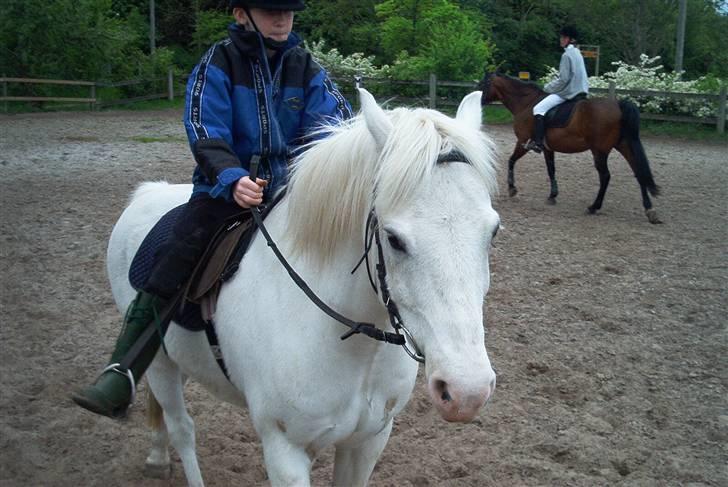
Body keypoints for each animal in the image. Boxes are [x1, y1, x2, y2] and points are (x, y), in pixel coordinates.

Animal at [104, 88, 500, 486]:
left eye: (493, 231)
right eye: (393, 238)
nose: (466, 392)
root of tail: (148, 194)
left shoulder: (369, 440)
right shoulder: (285, 451)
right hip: (160, 361)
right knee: (182, 428)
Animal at [478, 72, 662, 224]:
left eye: (484, 84)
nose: (476, 100)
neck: (526, 103)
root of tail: (618, 104)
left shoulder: (523, 142)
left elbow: (511, 161)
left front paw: (512, 189)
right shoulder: (547, 148)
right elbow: (551, 169)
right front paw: (552, 196)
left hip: (599, 151)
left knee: (605, 176)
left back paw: (594, 207)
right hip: (623, 145)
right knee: (638, 172)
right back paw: (650, 210)